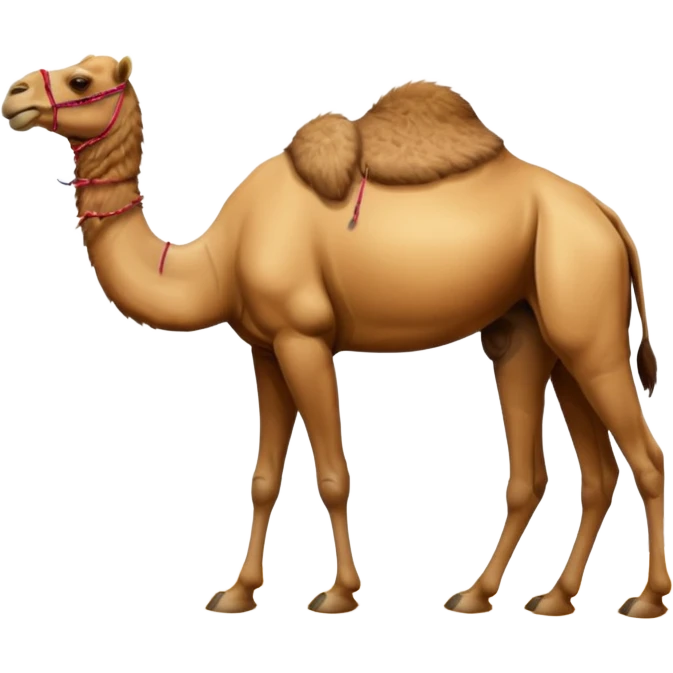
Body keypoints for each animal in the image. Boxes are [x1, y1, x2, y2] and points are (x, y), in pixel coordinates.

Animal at [3, 55, 671, 619]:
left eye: (80, 81)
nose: (15, 95)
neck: (216, 258)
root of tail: (609, 220)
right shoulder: (265, 348)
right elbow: (263, 477)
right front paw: (238, 592)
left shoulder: (303, 336)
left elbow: (331, 474)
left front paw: (338, 594)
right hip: (533, 331)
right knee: (572, 471)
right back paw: (516, 597)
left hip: (586, 315)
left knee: (644, 456)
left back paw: (644, 600)